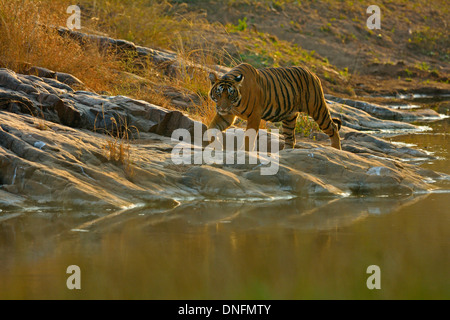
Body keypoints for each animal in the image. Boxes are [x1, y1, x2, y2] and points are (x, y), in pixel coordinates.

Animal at [207, 63, 342, 151]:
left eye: (230, 94)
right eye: (218, 93)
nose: (223, 108)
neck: (235, 104)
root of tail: (313, 74)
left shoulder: (254, 115)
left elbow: (249, 137)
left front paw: (245, 152)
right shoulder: (226, 116)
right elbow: (211, 128)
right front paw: (216, 145)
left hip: (317, 109)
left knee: (333, 127)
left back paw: (336, 150)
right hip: (289, 118)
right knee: (290, 138)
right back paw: (286, 153)